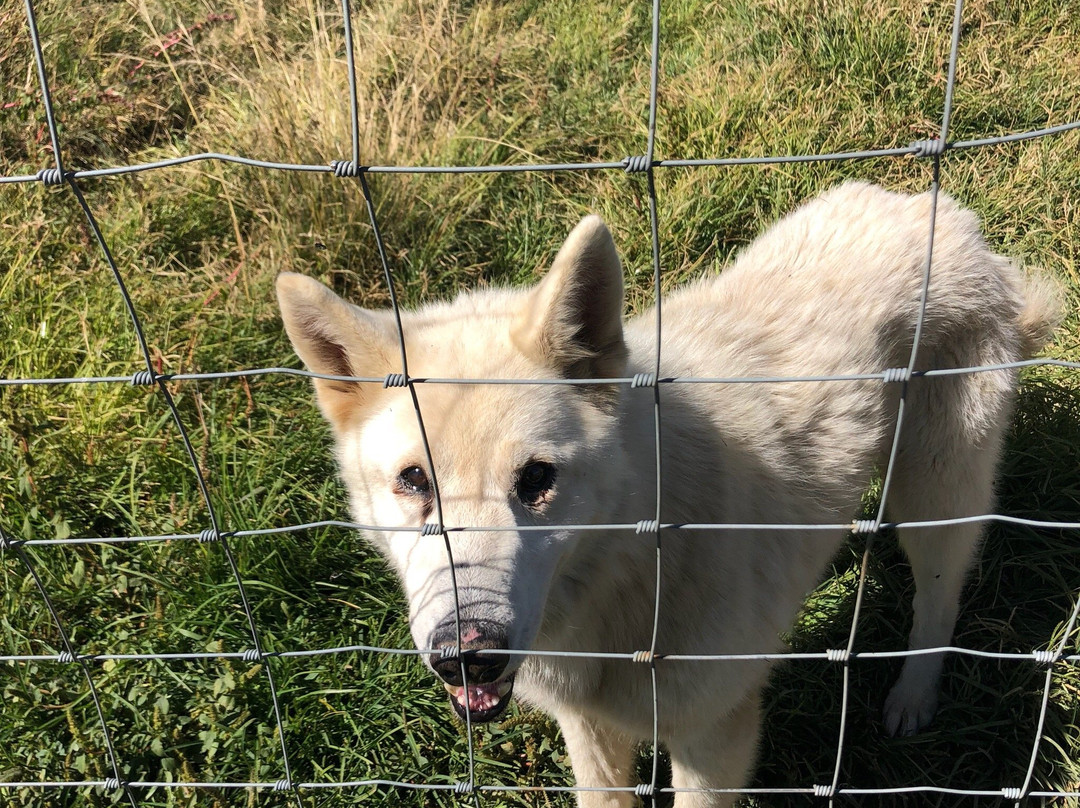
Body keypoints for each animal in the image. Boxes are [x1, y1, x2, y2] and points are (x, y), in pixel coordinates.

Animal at [276, 182, 1059, 807]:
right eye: (415, 482)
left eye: (536, 480)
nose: (466, 654)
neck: (632, 575)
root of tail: (945, 214)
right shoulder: (591, 734)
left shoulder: (714, 741)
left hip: (934, 499)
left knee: (939, 602)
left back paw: (912, 699)